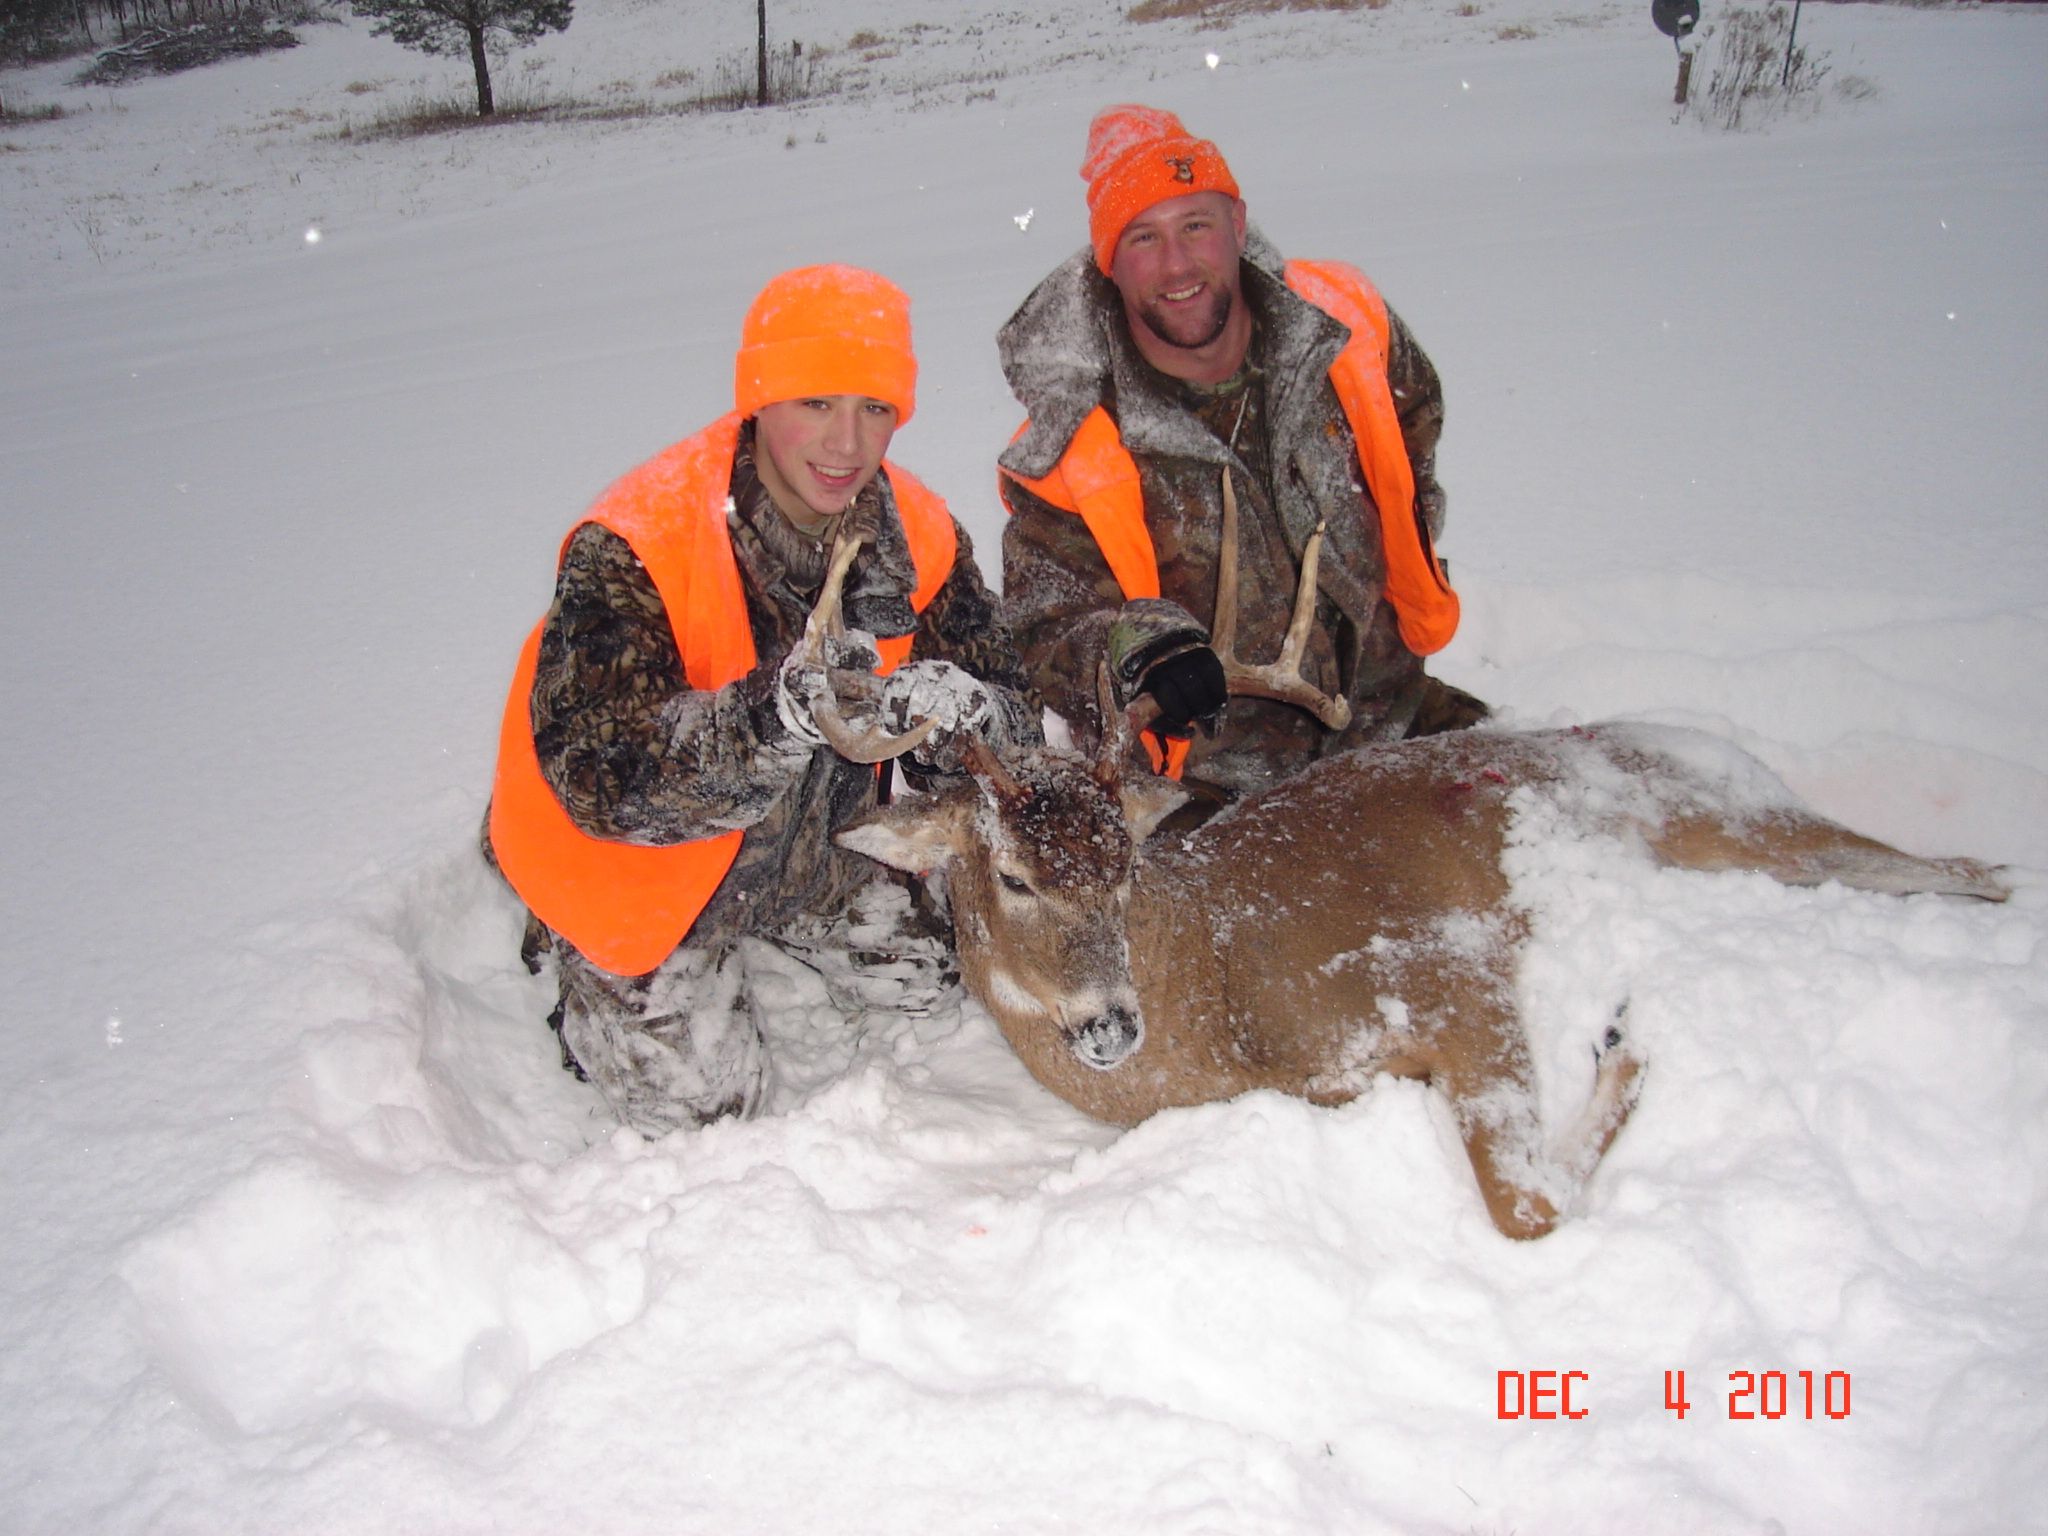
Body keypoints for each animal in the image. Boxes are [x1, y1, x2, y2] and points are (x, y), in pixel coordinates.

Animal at [827, 475, 1998, 1245]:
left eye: (1125, 864)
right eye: (1013, 876)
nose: (1112, 1024)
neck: (1222, 995)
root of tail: (1708, 749)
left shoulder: (1445, 966)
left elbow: (1523, 1208)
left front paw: (1624, 1044)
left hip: (1722, 820)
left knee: (1950, 866)